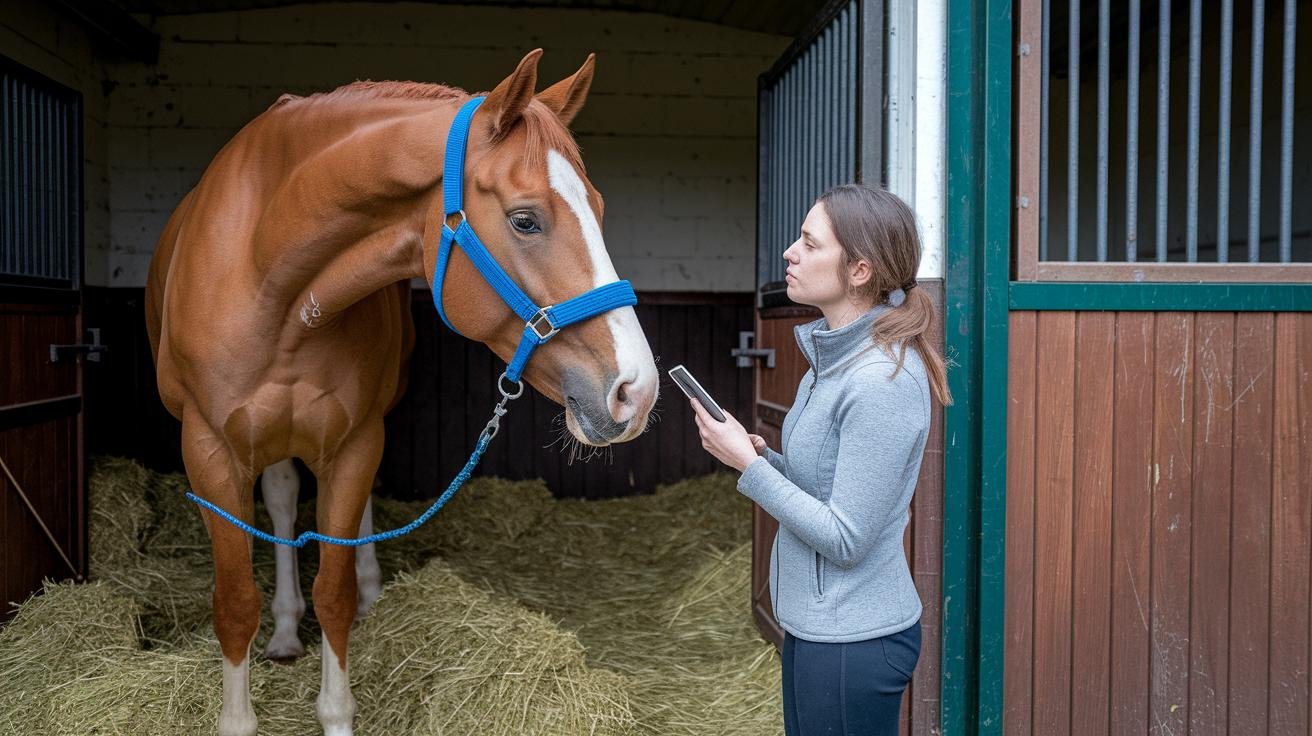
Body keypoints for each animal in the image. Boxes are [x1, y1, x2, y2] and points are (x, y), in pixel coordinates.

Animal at [145, 49, 659, 736]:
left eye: (598, 209)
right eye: (525, 220)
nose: (637, 389)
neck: (267, 274)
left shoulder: (354, 442)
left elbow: (333, 595)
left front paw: (338, 701)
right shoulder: (208, 453)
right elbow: (233, 605)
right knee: (280, 500)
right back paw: (283, 633)